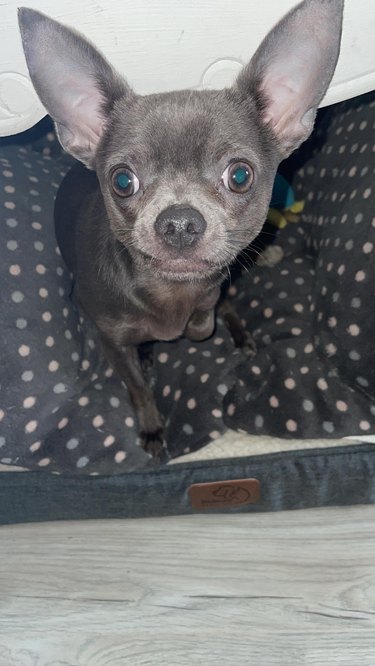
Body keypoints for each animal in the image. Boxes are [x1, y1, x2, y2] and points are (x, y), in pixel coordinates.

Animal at [19, 0, 346, 456]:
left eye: (239, 175)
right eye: (123, 181)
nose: (178, 221)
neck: (170, 292)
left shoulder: (208, 291)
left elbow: (204, 317)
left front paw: (192, 324)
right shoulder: (112, 342)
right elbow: (138, 388)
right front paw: (152, 427)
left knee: (227, 307)